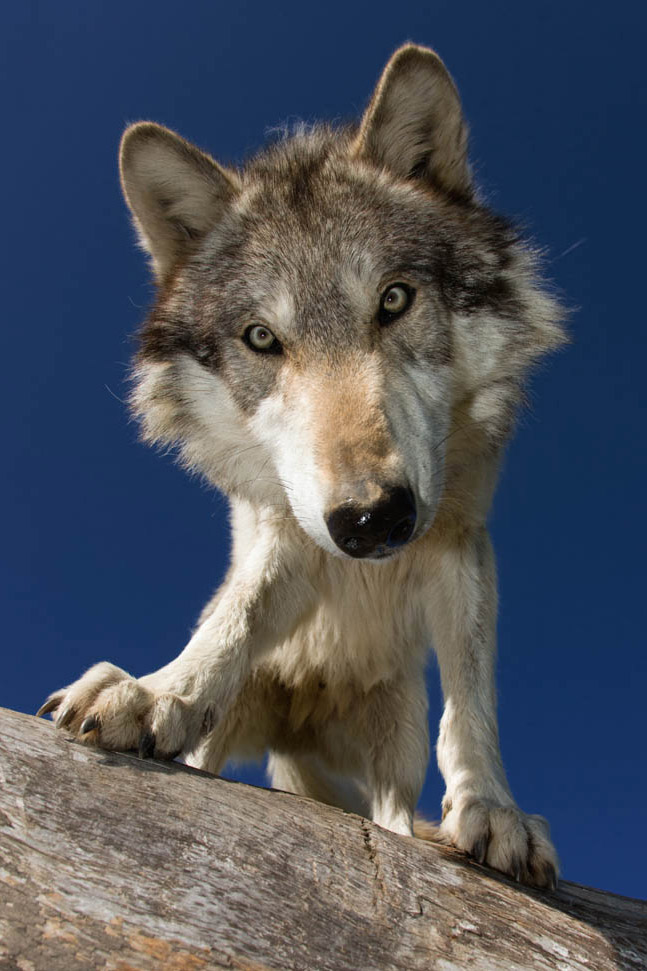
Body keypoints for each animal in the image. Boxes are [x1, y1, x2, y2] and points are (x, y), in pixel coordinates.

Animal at [41, 45, 568, 888]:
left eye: (394, 299)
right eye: (262, 338)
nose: (371, 520)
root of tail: (299, 724)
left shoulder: (460, 542)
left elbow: (472, 695)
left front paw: (493, 810)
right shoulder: (285, 538)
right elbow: (234, 620)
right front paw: (154, 693)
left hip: (395, 736)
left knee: (391, 814)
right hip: (235, 728)